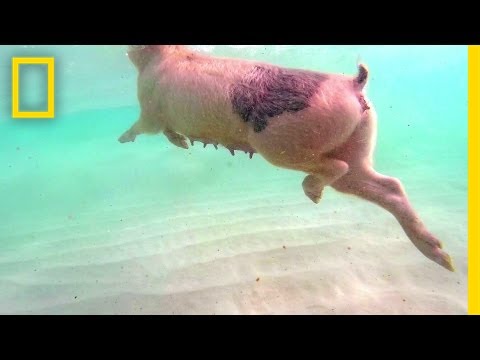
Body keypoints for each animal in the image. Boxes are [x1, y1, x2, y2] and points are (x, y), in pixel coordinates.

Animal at [120, 44, 454, 270]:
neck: (164, 55)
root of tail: (351, 83)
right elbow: (166, 131)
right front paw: (183, 144)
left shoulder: (149, 107)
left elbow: (144, 126)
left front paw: (123, 138)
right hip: (357, 146)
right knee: (389, 185)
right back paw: (442, 258)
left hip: (282, 146)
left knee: (336, 167)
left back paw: (313, 194)